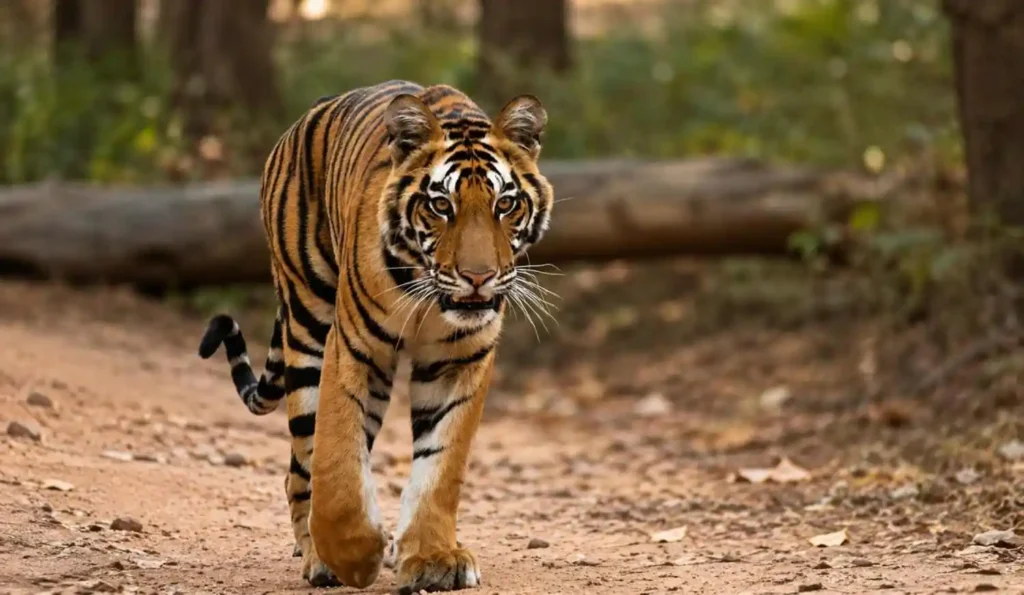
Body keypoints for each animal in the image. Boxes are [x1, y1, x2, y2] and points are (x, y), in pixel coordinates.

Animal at [196, 80, 553, 592]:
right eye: (441, 205)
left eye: (505, 204)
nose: (478, 278)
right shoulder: (354, 348)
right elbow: (338, 461)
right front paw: (355, 555)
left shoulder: (458, 361)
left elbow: (440, 466)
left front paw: (434, 558)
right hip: (307, 320)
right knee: (304, 461)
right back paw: (319, 558)